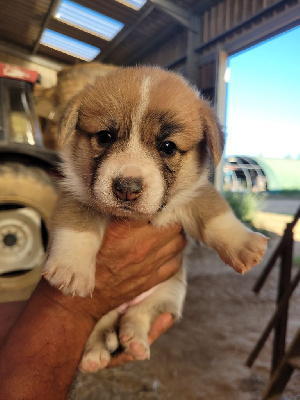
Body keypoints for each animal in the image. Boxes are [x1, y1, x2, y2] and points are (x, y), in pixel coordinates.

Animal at [42, 65, 268, 372]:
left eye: (168, 146)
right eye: (104, 137)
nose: (126, 188)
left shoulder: (195, 194)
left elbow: (217, 215)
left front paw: (244, 245)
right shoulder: (76, 195)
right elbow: (78, 228)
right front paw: (71, 270)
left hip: (169, 292)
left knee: (138, 315)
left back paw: (134, 340)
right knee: (99, 326)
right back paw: (93, 355)